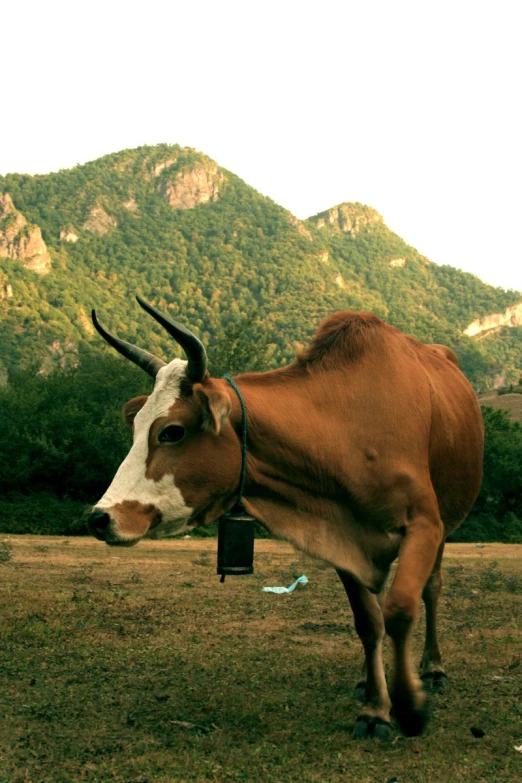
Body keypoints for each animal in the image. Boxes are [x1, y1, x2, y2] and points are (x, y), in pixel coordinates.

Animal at [87, 296, 482, 740]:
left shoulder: (425, 525)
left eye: (171, 431)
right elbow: (369, 622)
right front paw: (376, 709)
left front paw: (411, 705)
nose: (100, 518)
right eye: (136, 427)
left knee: (432, 589)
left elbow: (400, 609)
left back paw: (433, 668)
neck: (349, 428)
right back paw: (368, 680)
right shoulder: (340, 537)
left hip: (445, 525)